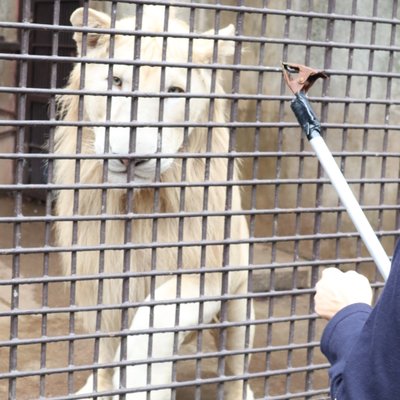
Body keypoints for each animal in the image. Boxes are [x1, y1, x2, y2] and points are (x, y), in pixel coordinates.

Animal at [54, 6, 253, 400]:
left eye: (174, 92)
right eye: (116, 80)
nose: (131, 157)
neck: (141, 203)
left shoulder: (208, 270)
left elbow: (152, 319)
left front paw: (143, 385)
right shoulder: (100, 275)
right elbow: (108, 348)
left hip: (240, 308)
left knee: (236, 372)